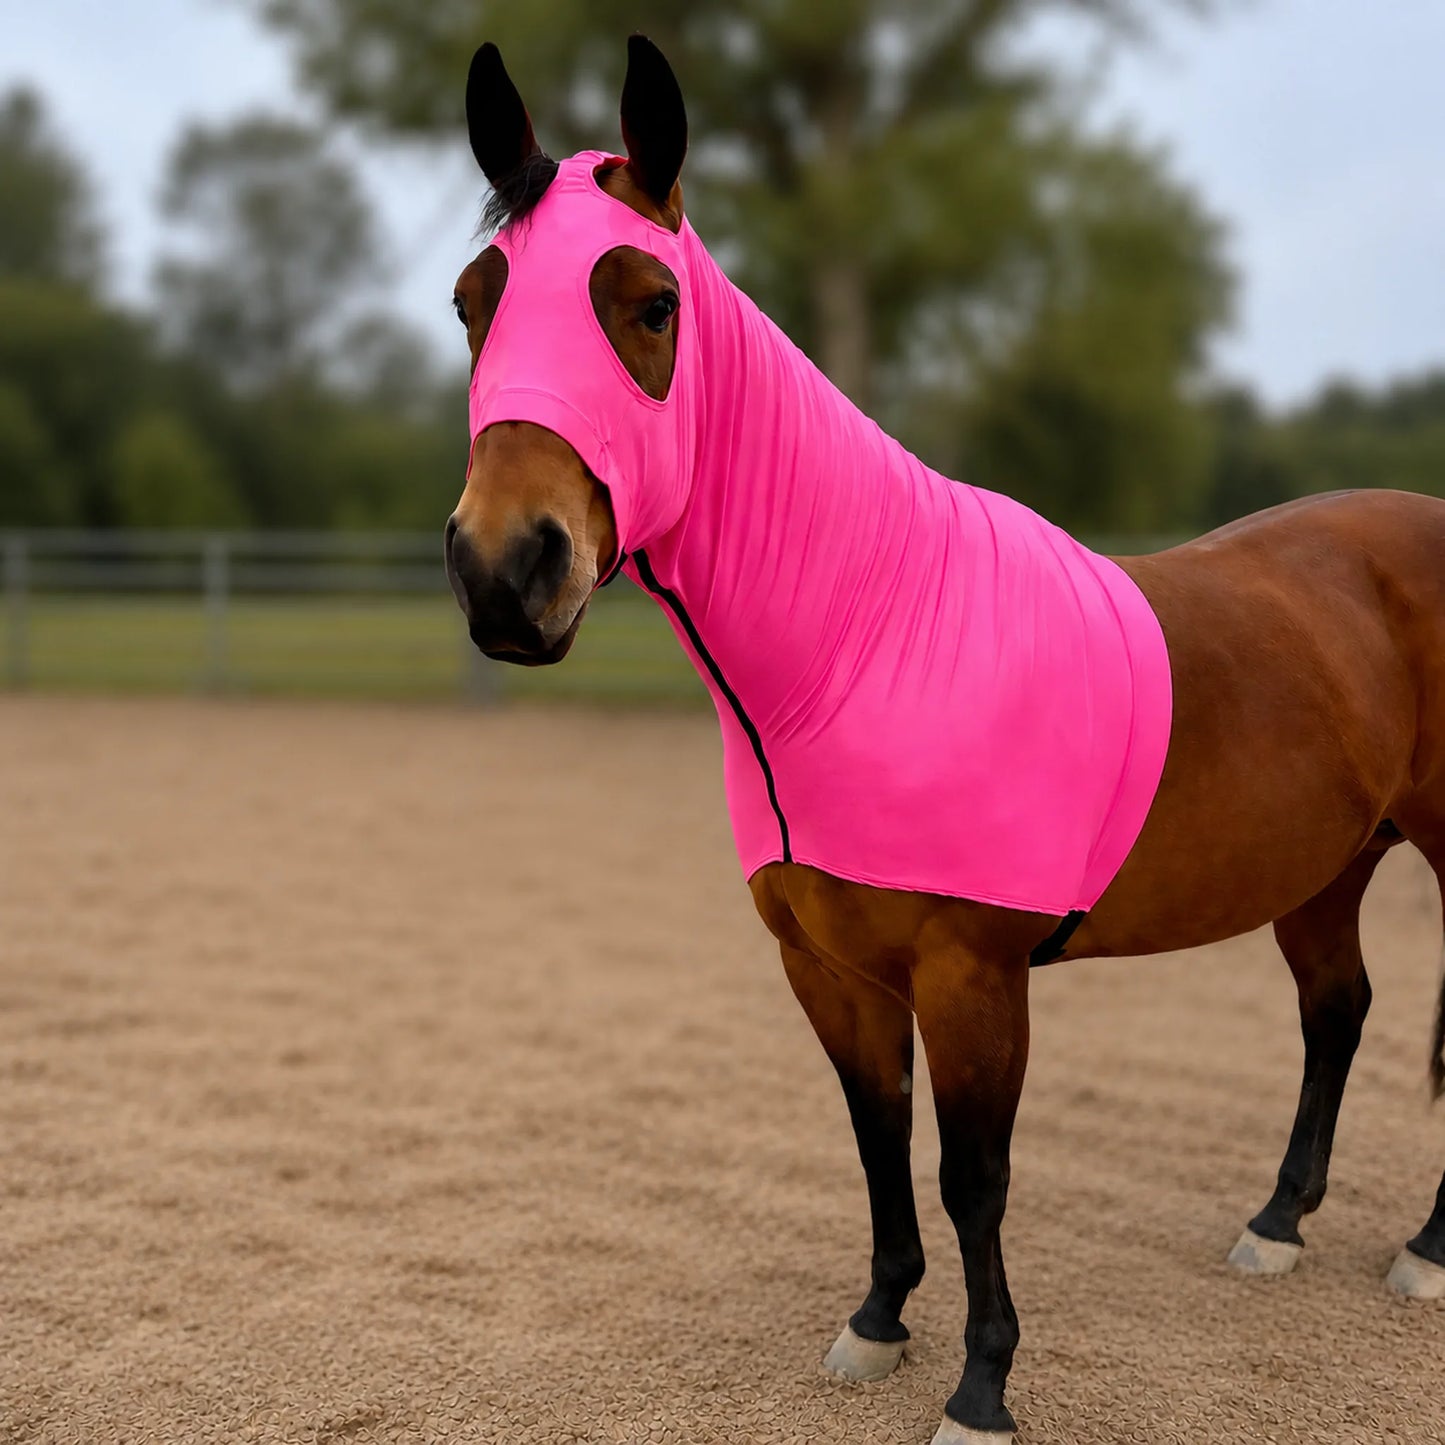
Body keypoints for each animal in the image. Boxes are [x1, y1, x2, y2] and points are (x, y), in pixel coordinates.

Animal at [443, 35, 1445, 1445]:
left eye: (649, 305)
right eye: (472, 304)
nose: (504, 572)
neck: (866, 636)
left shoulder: (973, 974)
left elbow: (973, 1173)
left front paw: (980, 1388)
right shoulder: (831, 968)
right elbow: (876, 1138)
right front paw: (875, 1321)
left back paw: (1424, 1248)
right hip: (1322, 863)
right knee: (1334, 1009)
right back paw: (1275, 1223)